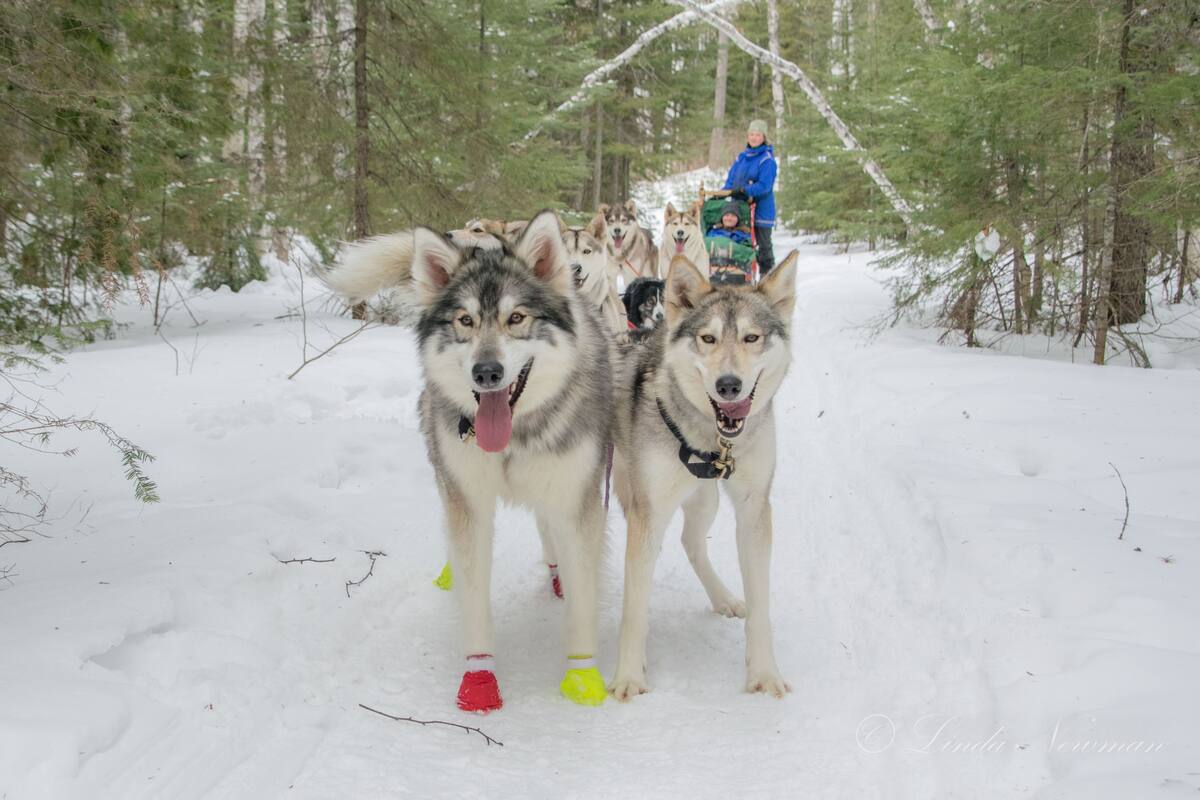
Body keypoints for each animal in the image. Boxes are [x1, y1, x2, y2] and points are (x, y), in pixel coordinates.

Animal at [324, 212, 609, 714]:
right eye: (464, 320)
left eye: (517, 318)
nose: (487, 372)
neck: (513, 439)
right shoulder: (469, 503)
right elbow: (475, 596)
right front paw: (479, 678)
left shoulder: (575, 500)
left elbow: (581, 593)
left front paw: (582, 674)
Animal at [609, 250, 796, 700]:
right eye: (707, 339)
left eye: (751, 338)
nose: (728, 385)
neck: (713, 437)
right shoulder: (647, 512)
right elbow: (634, 609)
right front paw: (629, 676)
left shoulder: (753, 507)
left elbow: (761, 606)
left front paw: (764, 672)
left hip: (703, 498)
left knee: (691, 542)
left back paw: (723, 596)